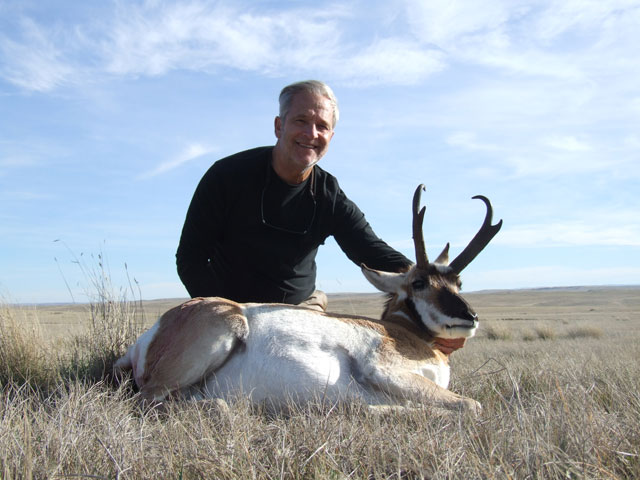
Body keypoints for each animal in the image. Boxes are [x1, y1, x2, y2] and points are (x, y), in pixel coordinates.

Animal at [116, 185, 504, 412]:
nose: (469, 317)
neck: (403, 334)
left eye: (458, 281)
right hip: (222, 331)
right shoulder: (384, 370)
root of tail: (151, 333)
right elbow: (471, 406)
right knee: (148, 401)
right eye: (420, 282)